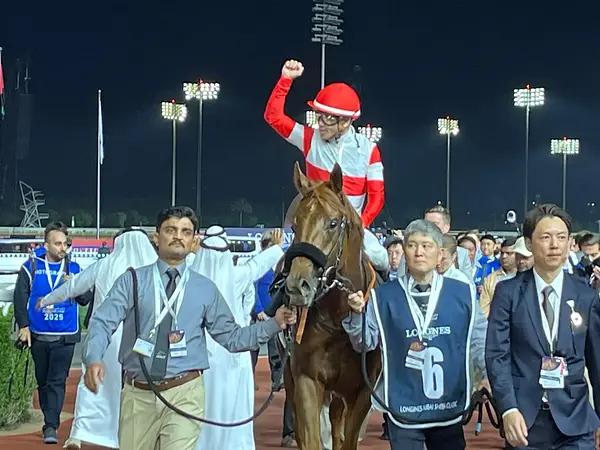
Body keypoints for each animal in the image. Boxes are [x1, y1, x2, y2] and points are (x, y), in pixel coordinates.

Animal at [282, 161, 382, 450]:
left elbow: (348, 440)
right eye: (295, 225)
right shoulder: (306, 381)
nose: (297, 285)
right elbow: (311, 439)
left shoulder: (362, 391)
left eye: (333, 223)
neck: (337, 319)